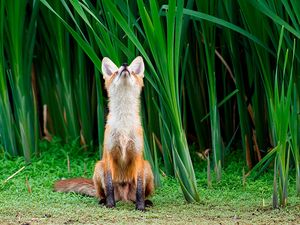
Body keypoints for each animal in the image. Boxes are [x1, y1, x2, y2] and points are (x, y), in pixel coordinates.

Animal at [54, 56, 156, 211]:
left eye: (132, 71)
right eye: (115, 72)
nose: (124, 65)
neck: (123, 124)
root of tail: (124, 197)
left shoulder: (138, 155)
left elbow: (139, 189)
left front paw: (140, 207)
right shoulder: (109, 154)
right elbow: (109, 187)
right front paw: (110, 205)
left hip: (147, 168)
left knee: (140, 194)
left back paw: (146, 202)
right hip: (99, 167)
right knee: (102, 193)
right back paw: (103, 201)